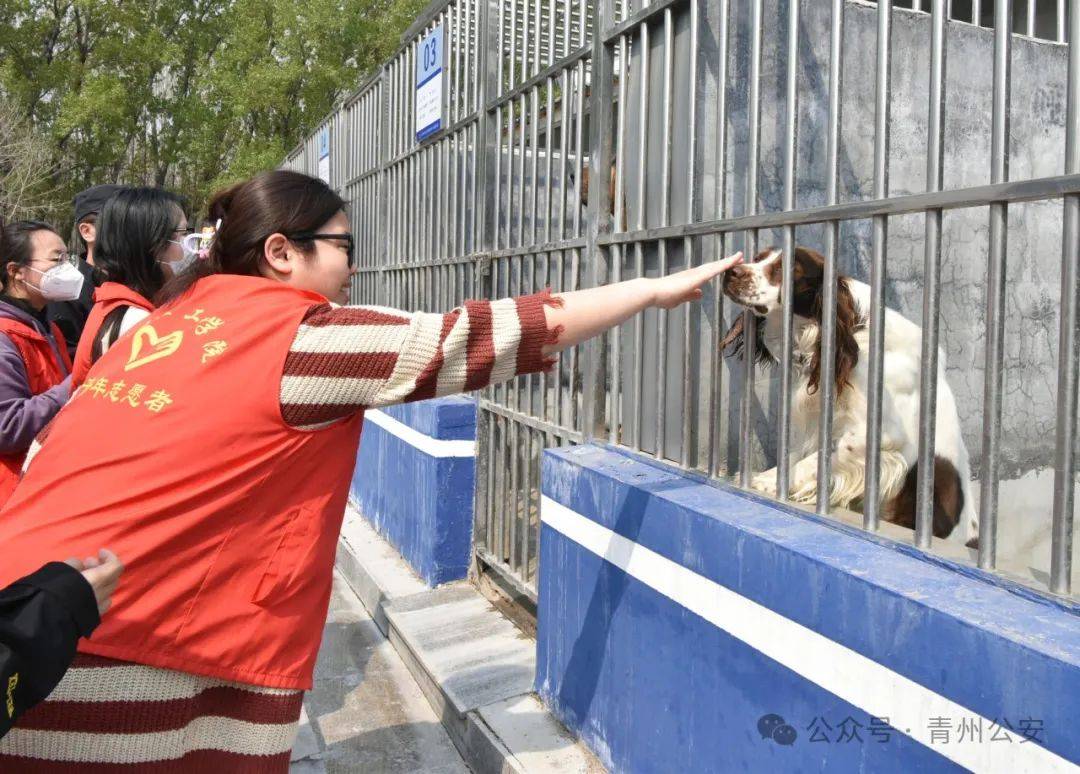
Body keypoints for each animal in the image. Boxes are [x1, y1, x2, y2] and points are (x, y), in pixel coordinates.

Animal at [717, 246, 980, 544]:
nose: (731, 271)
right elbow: (800, 453)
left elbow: (827, 453)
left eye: (789, 267)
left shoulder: (883, 433)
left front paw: (769, 482)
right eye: (759, 257)